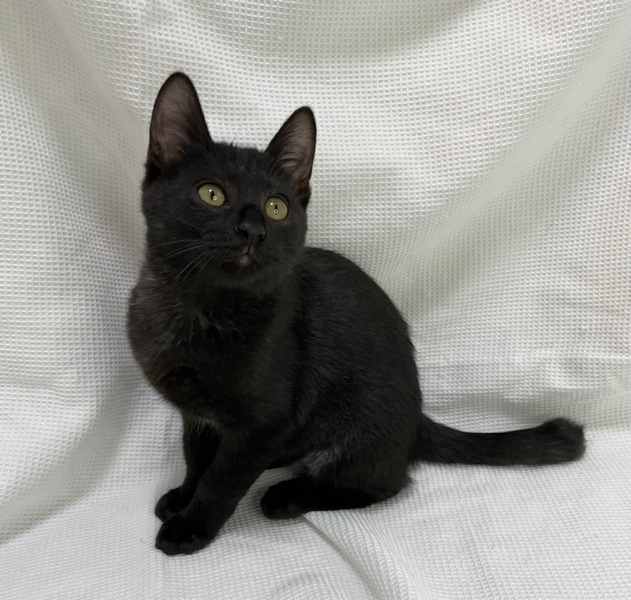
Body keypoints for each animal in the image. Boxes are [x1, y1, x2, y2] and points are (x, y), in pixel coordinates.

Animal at [127, 73, 585, 556]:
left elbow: (222, 477)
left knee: (386, 484)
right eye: (211, 194)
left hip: (359, 426)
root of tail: (416, 420)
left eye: (276, 206)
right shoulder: (196, 416)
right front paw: (182, 497)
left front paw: (191, 526)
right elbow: (196, 459)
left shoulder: (265, 423)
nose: (253, 229)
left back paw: (286, 495)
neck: (199, 309)